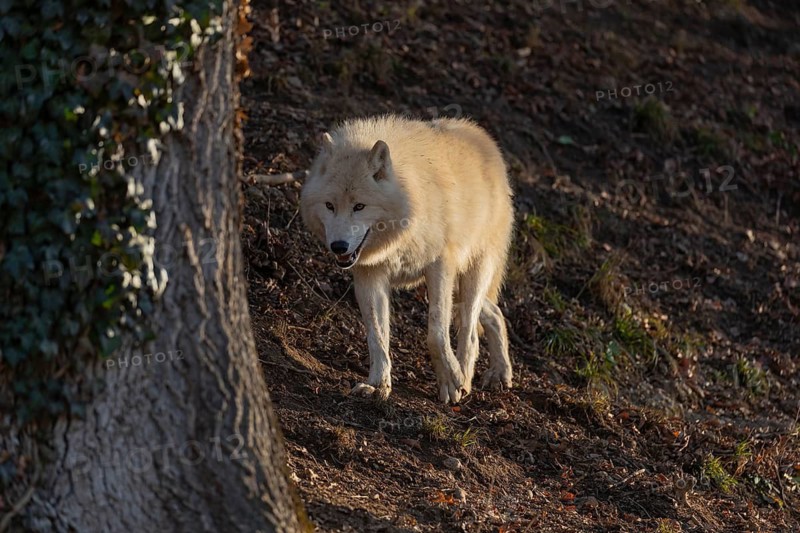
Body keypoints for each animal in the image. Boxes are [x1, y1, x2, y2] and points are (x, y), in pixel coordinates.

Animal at [300, 115, 514, 404]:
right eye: (329, 205)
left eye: (359, 206)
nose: (338, 247)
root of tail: (482, 136)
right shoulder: (370, 273)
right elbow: (377, 335)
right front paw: (378, 385)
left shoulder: (440, 265)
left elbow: (437, 333)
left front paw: (450, 381)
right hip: (460, 286)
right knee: (494, 312)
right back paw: (499, 373)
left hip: (472, 274)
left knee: (470, 332)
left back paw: (466, 379)